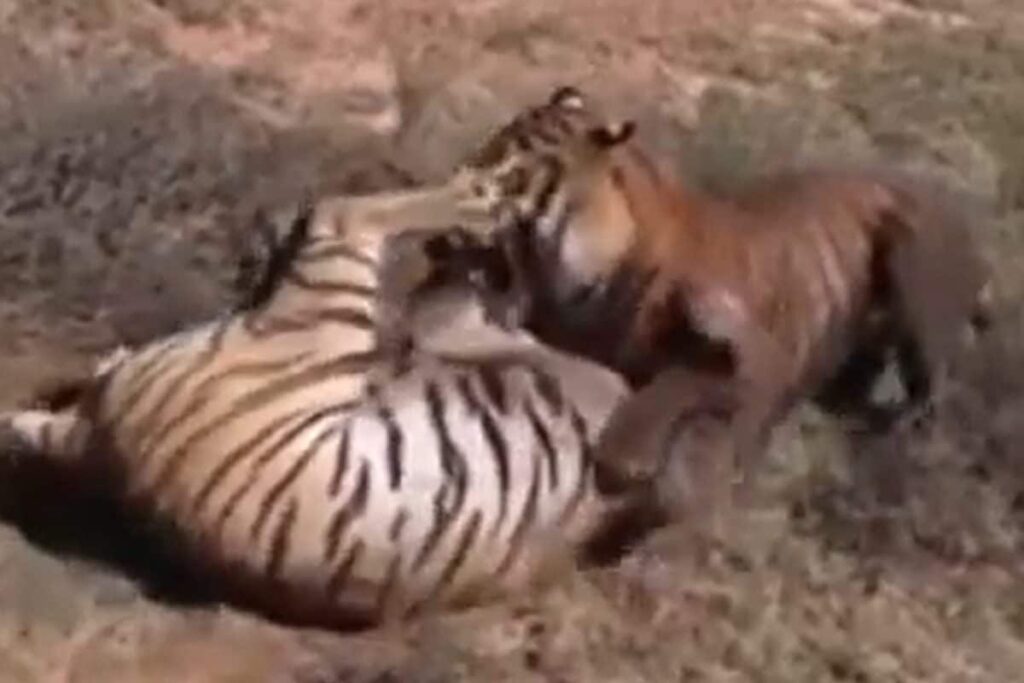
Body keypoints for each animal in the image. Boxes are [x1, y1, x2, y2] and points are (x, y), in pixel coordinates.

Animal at [0, 181, 651, 629]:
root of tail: (102, 446)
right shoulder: (485, 337)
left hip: (316, 311)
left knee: (341, 212)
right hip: (327, 305)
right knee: (346, 209)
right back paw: (472, 196)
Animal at [432, 85, 993, 530]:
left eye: (511, 164)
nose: (455, 176)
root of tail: (959, 212)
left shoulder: (757, 363)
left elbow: (676, 387)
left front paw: (635, 463)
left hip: (917, 286)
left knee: (927, 396)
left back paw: (893, 449)